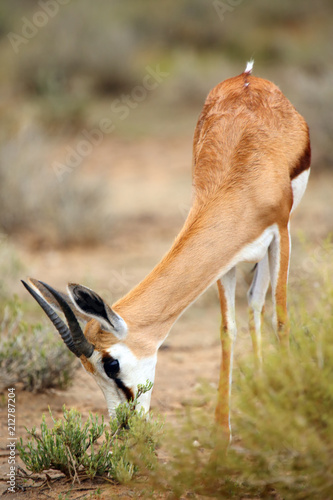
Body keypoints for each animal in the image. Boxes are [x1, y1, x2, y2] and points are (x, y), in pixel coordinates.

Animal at [22, 62, 310, 442]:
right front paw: (221, 433)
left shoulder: (281, 232)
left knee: (260, 306)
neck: (243, 180)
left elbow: (282, 320)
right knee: (253, 304)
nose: (124, 425)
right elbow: (227, 329)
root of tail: (247, 75)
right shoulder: (226, 258)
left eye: (110, 363)